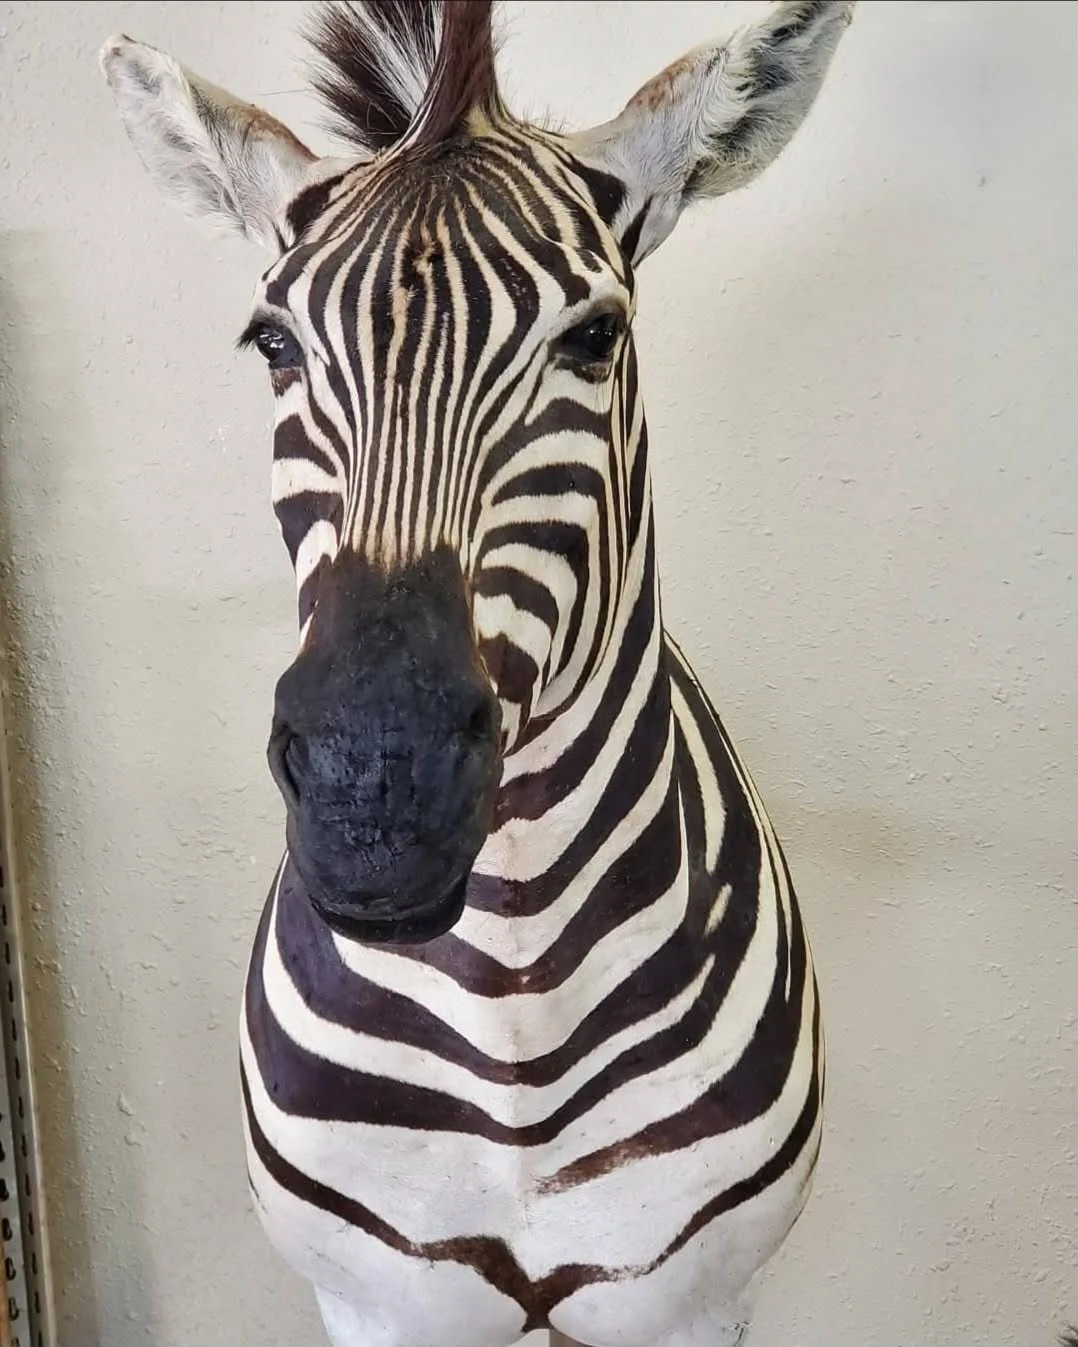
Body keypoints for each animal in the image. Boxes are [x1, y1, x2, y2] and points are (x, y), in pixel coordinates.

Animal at [100, 2, 855, 1344]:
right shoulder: (382, 1301)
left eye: (595, 338)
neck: (513, 981)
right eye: (274, 343)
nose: (375, 795)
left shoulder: (686, 1299)